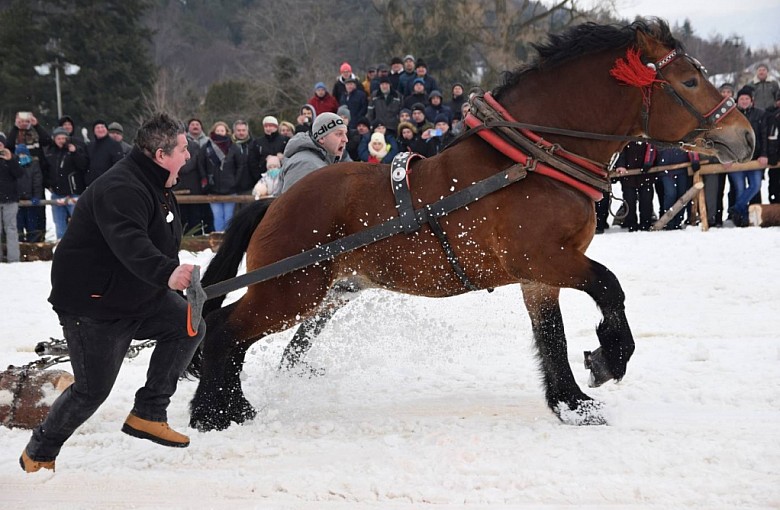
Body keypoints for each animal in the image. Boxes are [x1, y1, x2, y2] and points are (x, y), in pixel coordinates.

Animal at [187, 20, 756, 434]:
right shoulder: (547, 258)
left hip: (309, 291)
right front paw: (607, 360)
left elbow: (550, 337)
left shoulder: (539, 276)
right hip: (292, 290)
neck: (531, 160)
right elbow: (609, 288)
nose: (746, 137)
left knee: (232, 332)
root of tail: (275, 202)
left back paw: (229, 408)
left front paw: (570, 402)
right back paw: (214, 414)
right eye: (689, 81)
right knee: (225, 330)